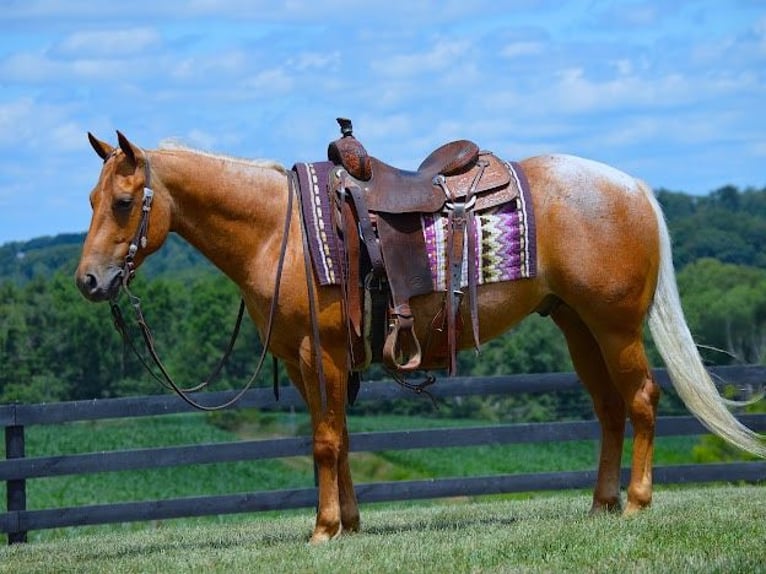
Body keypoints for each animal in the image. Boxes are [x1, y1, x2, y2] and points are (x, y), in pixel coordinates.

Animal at [73, 129, 766, 544]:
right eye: (90, 198)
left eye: (124, 202)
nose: (89, 280)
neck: (281, 231)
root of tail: (633, 187)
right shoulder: (302, 360)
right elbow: (337, 438)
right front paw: (348, 523)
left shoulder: (320, 352)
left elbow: (325, 442)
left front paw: (324, 529)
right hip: (577, 326)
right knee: (609, 410)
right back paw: (599, 505)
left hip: (615, 326)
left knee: (642, 400)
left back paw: (637, 503)